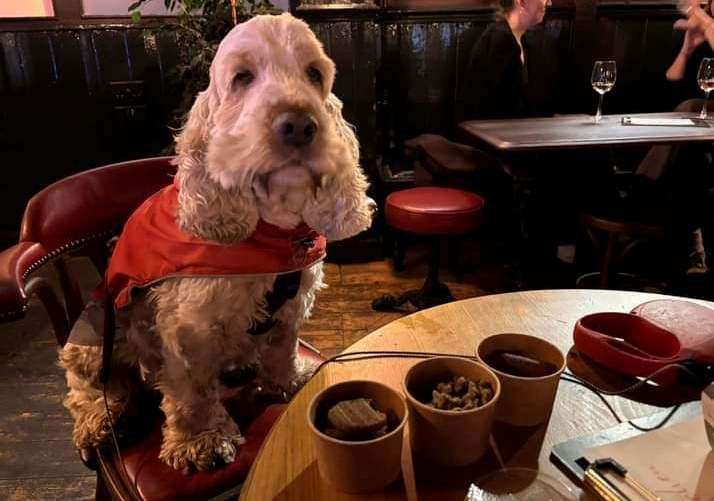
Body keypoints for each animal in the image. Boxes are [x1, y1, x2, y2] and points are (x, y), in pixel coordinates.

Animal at [59, 12, 376, 472]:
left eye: (314, 74)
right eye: (242, 77)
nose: (300, 126)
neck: (274, 231)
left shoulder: (293, 305)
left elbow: (281, 347)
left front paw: (287, 380)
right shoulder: (187, 327)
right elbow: (191, 390)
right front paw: (201, 440)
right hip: (95, 333)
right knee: (86, 385)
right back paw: (99, 421)